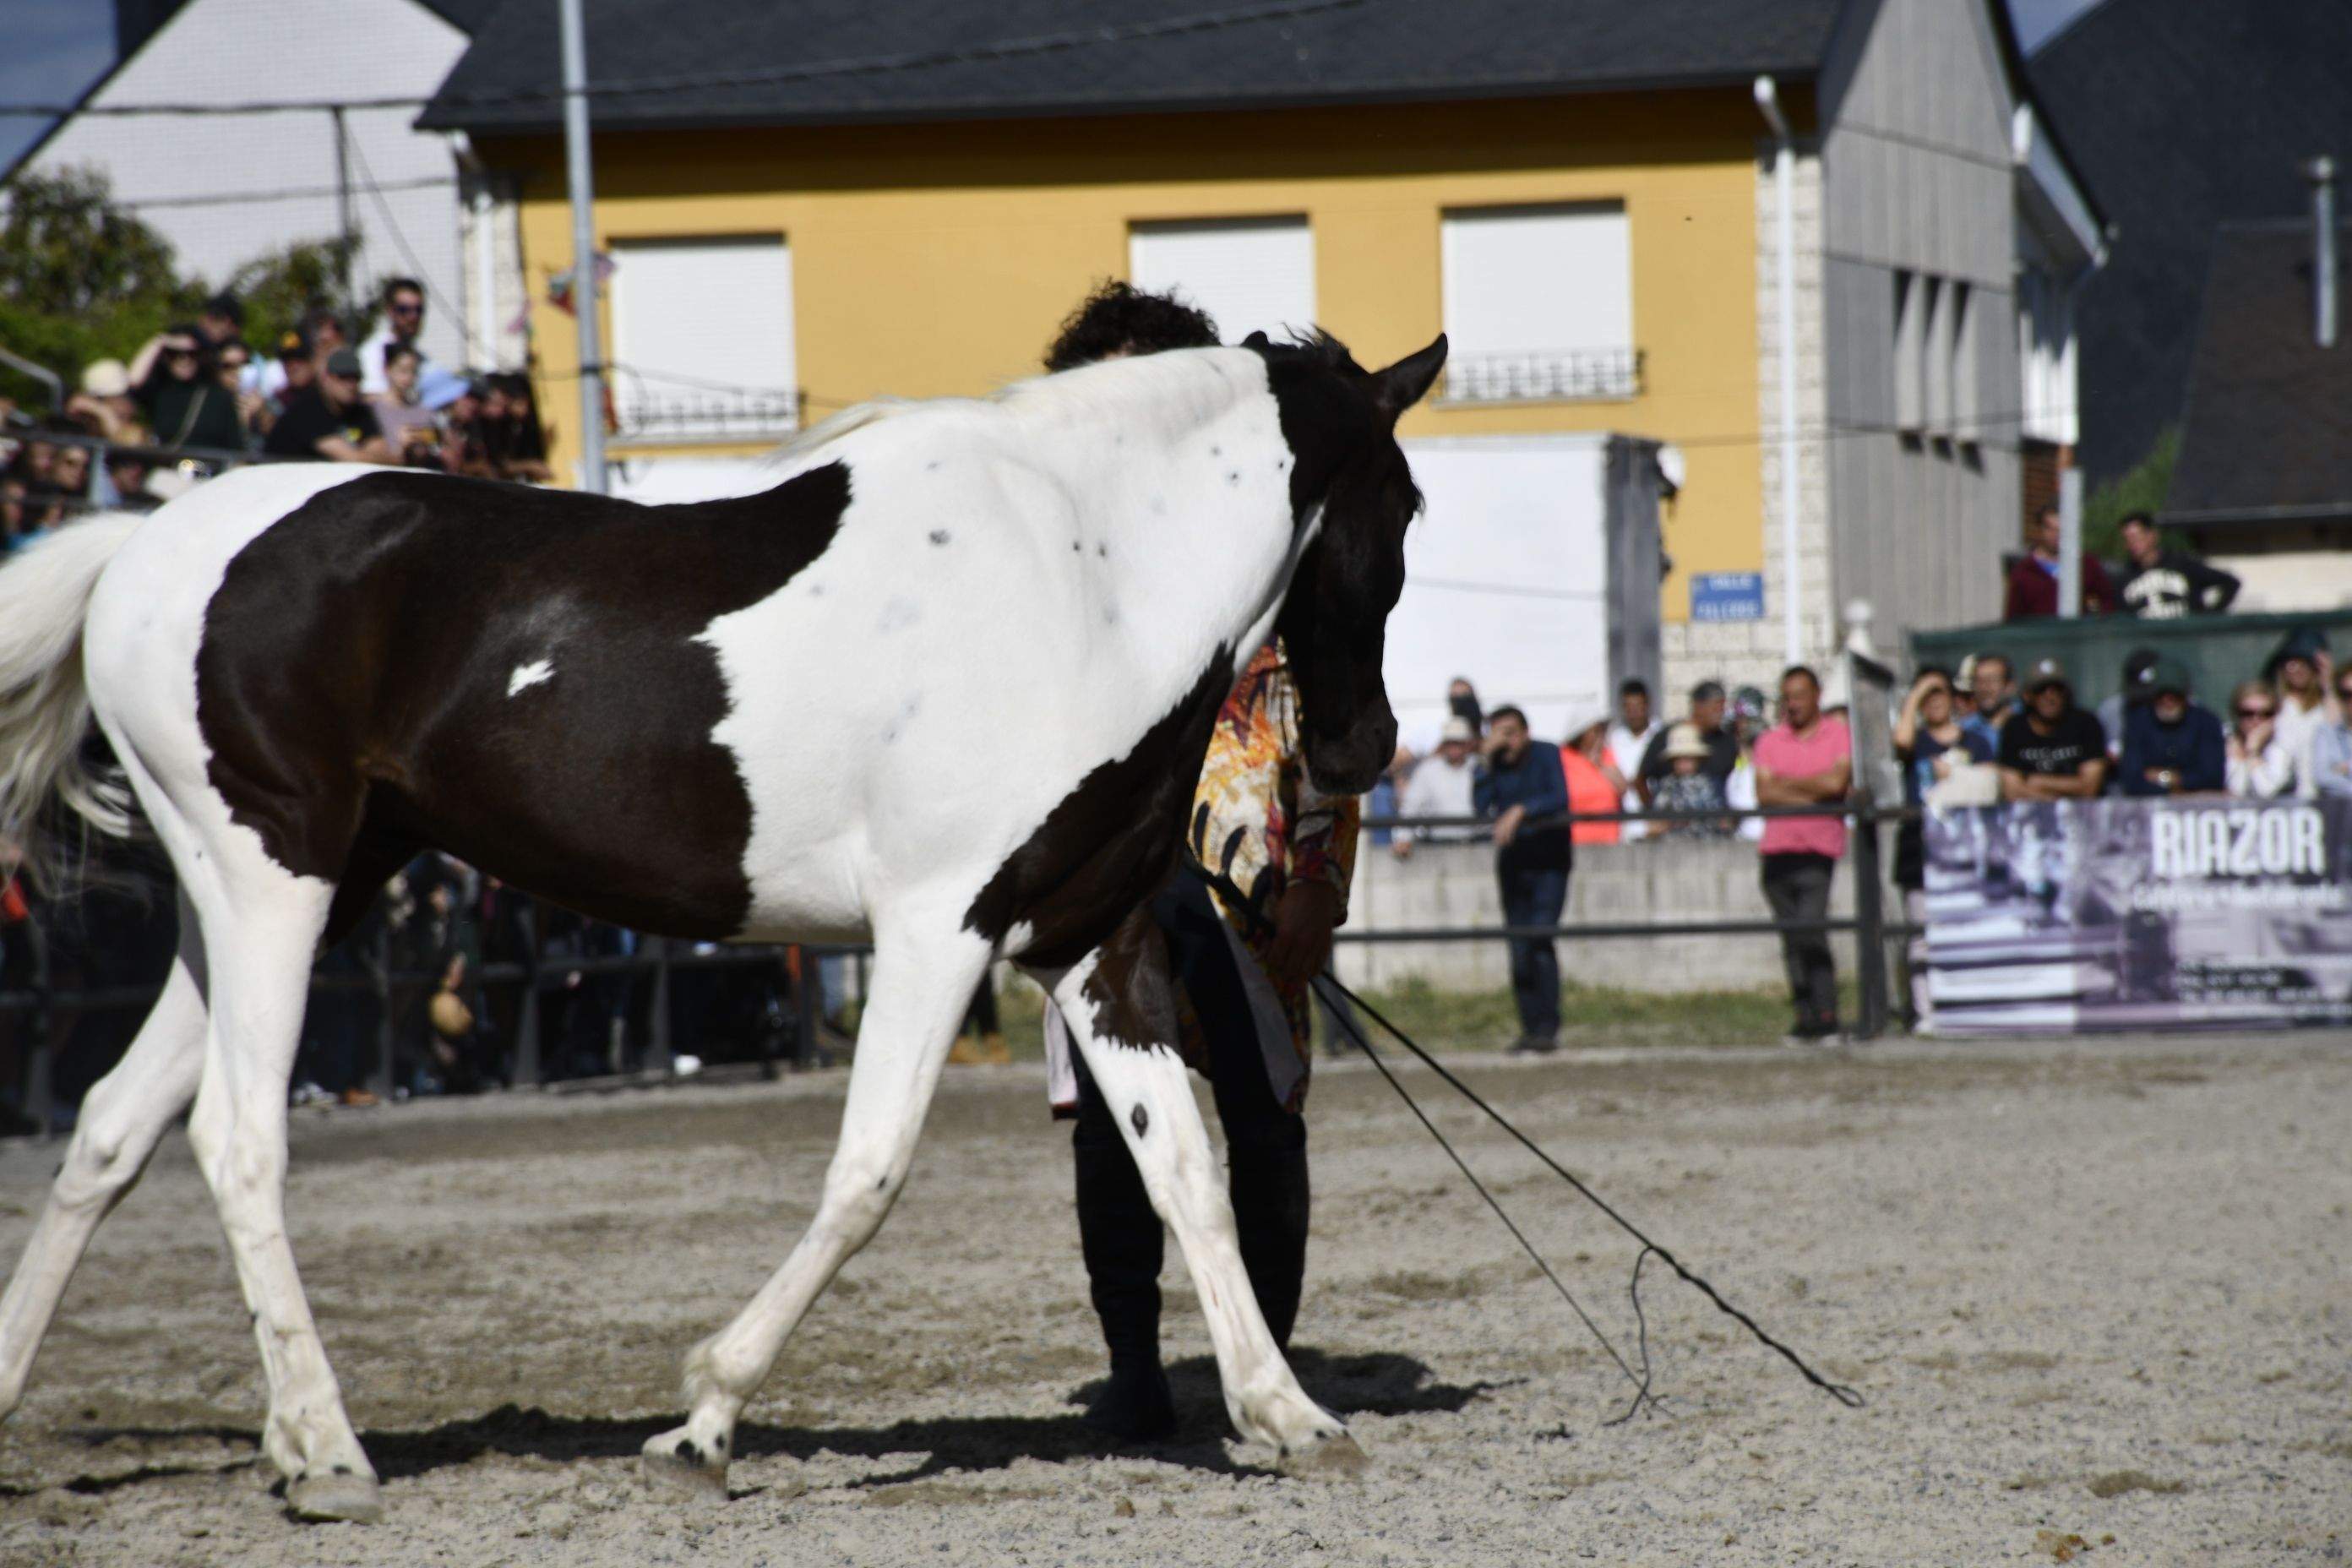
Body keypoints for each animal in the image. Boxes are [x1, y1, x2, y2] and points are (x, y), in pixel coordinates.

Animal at [0, 329, 1429, 1523]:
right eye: (1408, 505)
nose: (1363, 749)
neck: (1086, 572)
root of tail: (138, 548)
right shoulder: (939, 928)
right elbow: (868, 1174)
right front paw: (703, 1420)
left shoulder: (1090, 943)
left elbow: (1184, 1169)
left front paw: (1291, 1416)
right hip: (271, 886)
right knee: (235, 1141)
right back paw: (326, 1454)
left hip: (281, 895)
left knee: (113, 1128)